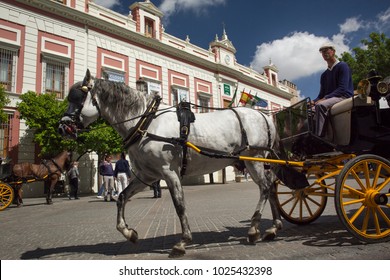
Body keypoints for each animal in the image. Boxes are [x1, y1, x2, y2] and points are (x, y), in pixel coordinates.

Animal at [58, 69, 284, 256]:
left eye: (78, 98)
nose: (62, 127)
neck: (146, 122)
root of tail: (265, 117)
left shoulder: (169, 172)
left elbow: (179, 205)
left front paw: (183, 241)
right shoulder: (148, 175)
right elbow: (122, 197)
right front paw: (129, 232)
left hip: (254, 160)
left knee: (265, 188)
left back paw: (254, 229)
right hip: (257, 162)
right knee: (271, 186)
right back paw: (273, 227)